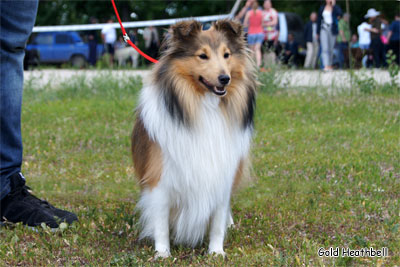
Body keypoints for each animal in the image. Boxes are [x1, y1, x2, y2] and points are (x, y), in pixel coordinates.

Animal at [131, 19, 256, 258]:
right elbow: (160, 221)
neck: (205, 106)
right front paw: (163, 253)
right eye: (202, 56)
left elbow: (217, 220)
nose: (224, 79)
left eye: (226, 55)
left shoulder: (222, 171)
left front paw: (216, 252)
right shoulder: (160, 177)